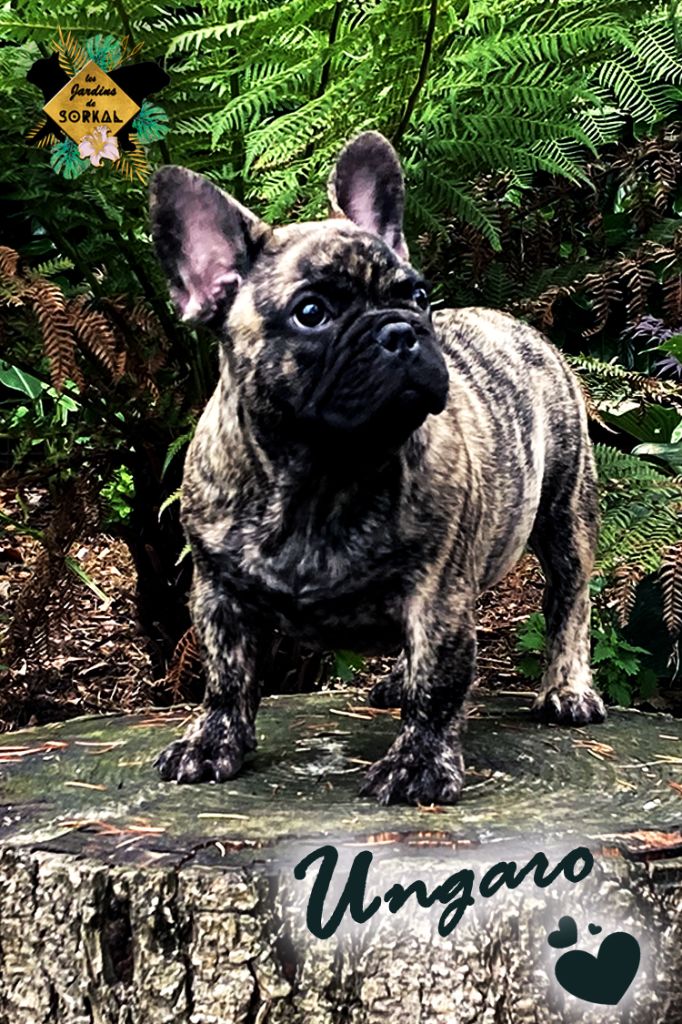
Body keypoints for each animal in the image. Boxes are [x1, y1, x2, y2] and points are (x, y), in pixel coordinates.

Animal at [149, 131, 605, 806]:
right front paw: (211, 743)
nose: (402, 331)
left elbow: (437, 687)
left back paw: (567, 689)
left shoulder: (439, 593)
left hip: (566, 517)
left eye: (417, 296)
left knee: (568, 602)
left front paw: (419, 764)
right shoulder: (218, 593)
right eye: (312, 312)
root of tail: (517, 325)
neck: (322, 475)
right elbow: (226, 677)